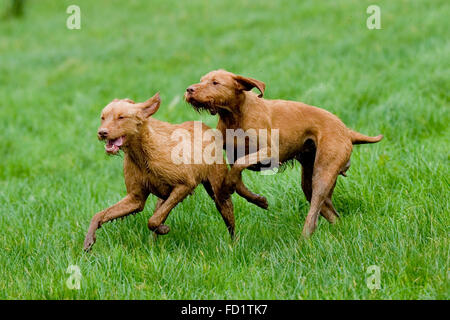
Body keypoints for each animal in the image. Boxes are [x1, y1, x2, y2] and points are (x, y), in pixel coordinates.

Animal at [83, 91, 268, 251]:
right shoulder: (135, 199)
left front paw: (163, 229)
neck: (142, 152)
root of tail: (207, 128)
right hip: (165, 198)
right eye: (102, 117)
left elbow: (153, 221)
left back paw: (238, 239)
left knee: (230, 221)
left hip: (219, 193)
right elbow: (99, 215)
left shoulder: (184, 185)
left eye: (121, 117)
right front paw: (89, 240)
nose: (102, 132)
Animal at [185, 70, 382, 236]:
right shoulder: (234, 156)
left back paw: (304, 238)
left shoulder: (271, 153)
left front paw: (227, 187)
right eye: (201, 80)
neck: (234, 116)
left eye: (215, 82)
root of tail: (347, 130)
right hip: (310, 179)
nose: (189, 89)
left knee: (315, 210)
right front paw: (258, 200)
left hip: (323, 173)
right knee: (330, 212)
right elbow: (238, 181)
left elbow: (237, 170)